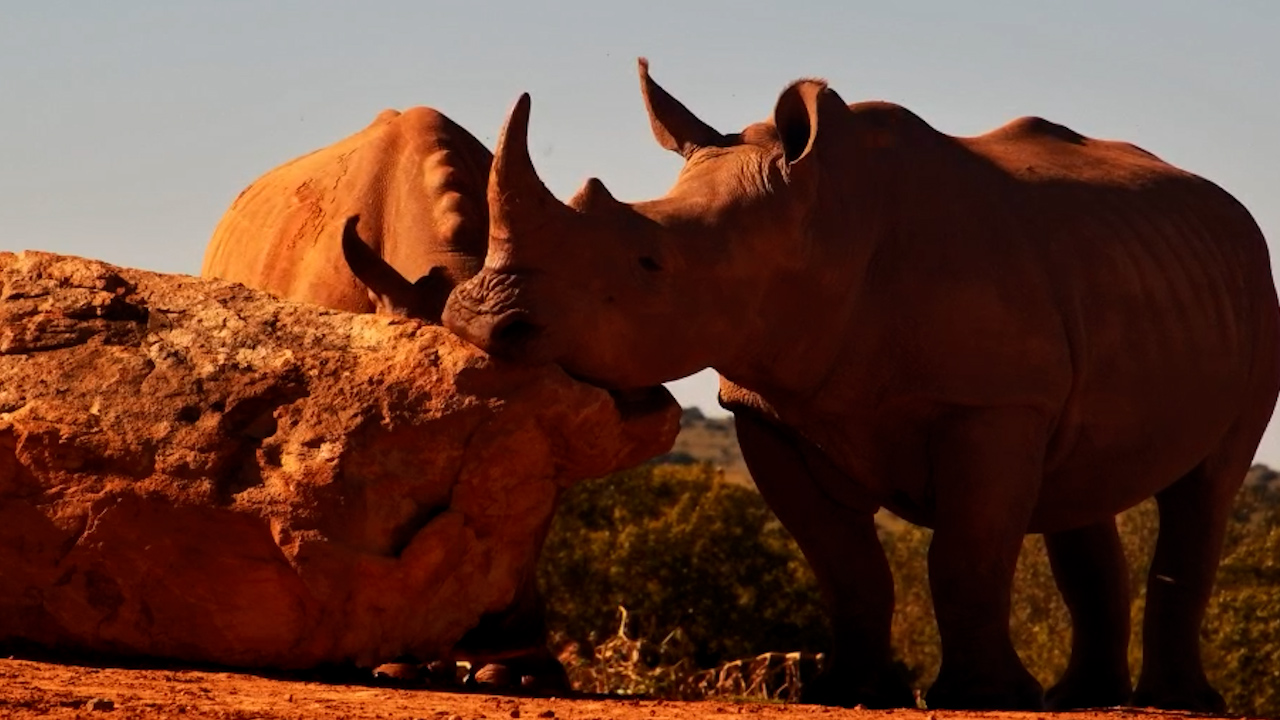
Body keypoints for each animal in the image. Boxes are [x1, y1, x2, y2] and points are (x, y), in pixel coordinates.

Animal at [432, 61, 1280, 711]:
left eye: (650, 262)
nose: (482, 320)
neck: (819, 228)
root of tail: (1225, 206)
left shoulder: (990, 403)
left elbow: (967, 552)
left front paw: (981, 697)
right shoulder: (769, 407)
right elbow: (844, 564)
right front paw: (851, 692)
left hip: (1253, 290)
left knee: (1206, 487)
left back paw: (1178, 702)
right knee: (1082, 484)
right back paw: (1082, 699)